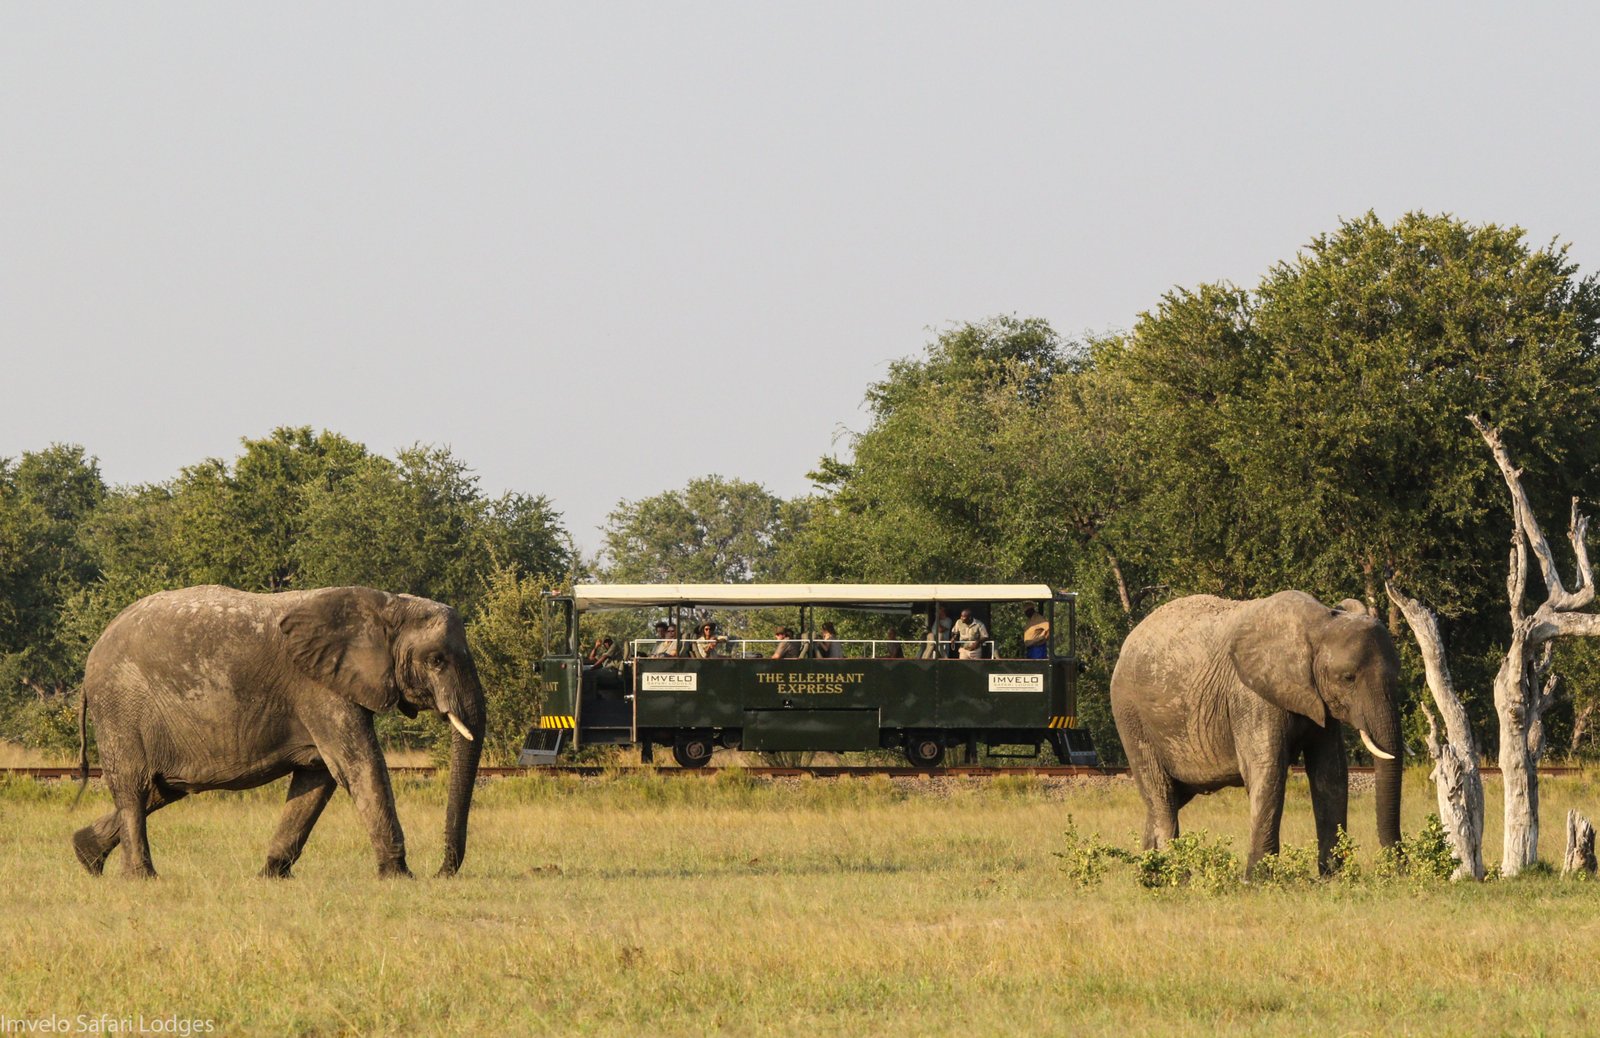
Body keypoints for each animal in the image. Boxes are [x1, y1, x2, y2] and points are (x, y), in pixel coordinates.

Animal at [72, 585, 485, 879]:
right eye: (436, 661)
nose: (441, 873)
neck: (388, 605)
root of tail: (92, 656)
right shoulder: (321, 689)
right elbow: (359, 767)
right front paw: (399, 876)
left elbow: (316, 779)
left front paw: (271, 875)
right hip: (121, 706)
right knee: (135, 787)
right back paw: (141, 877)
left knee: (162, 789)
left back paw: (86, 855)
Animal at [1109, 590, 1402, 874]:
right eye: (1348, 678)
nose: (1398, 868)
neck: (1319, 624)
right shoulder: (1251, 695)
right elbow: (1267, 770)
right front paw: (1258, 880)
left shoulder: (1319, 702)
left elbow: (1331, 773)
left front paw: (1334, 878)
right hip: (1132, 716)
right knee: (1161, 798)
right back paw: (1176, 878)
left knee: (1166, 799)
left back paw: (1150, 877)